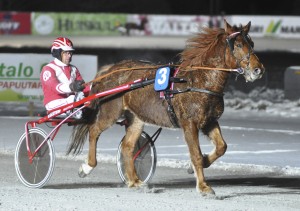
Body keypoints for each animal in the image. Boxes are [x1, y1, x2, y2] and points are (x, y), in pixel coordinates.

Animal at [67, 19, 264, 195]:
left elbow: (222, 147)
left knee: (128, 147)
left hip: (136, 118)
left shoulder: (209, 121)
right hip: (111, 112)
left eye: (252, 43)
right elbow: (196, 154)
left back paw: (135, 181)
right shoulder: (189, 124)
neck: (199, 81)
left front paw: (200, 164)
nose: (258, 70)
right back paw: (87, 167)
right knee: (94, 131)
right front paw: (203, 187)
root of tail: (110, 70)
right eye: (238, 44)